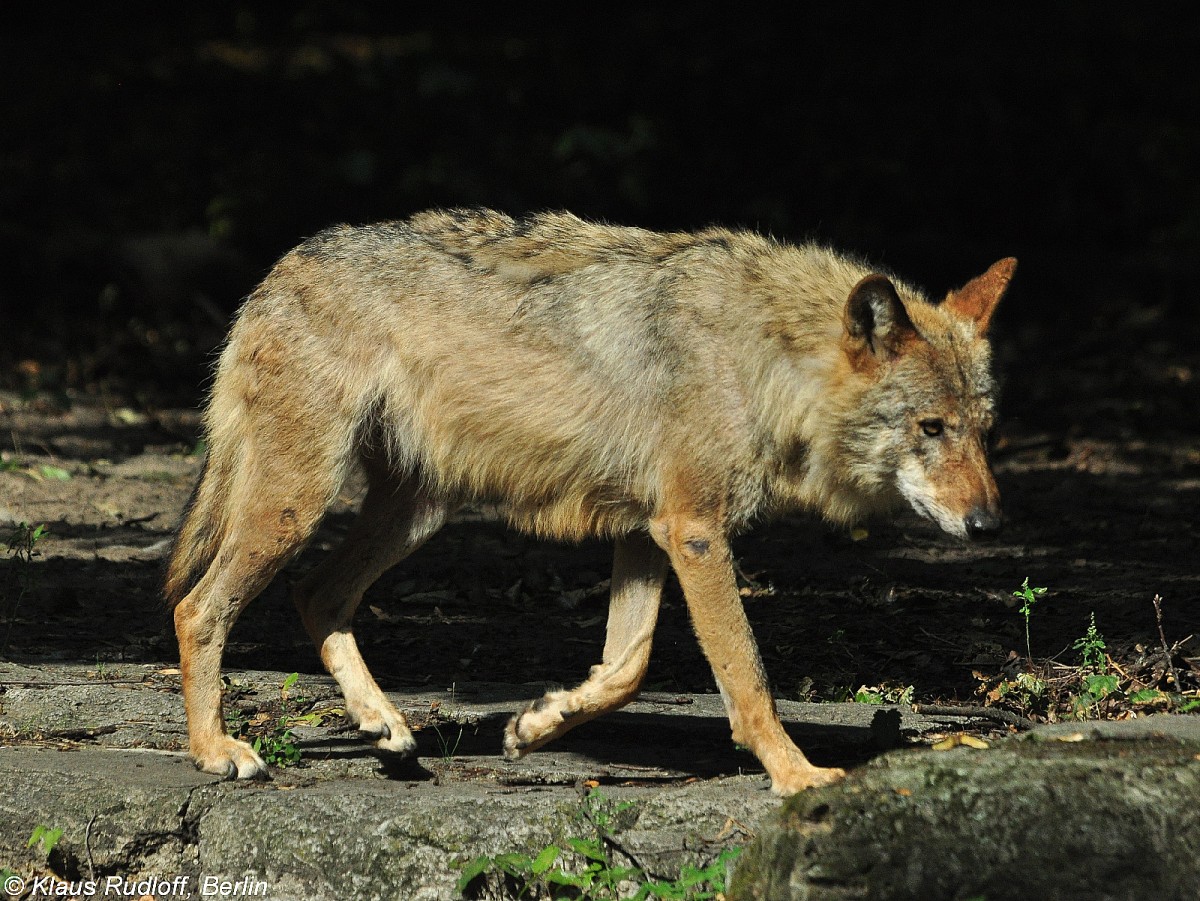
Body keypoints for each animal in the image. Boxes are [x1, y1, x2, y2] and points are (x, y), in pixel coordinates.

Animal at [164, 209, 1017, 796]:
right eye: (930, 428)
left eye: (983, 431)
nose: (987, 523)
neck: (762, 354)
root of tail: (281, 268)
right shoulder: (694, 531)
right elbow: (748, 677)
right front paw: (796, 774)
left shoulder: (648, 532)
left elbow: (627, 667)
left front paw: (536, 725)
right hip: (297, 505)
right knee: (198, 608)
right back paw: (215, 751)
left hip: (414, 514)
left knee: (317, 594)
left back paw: (385, 723)